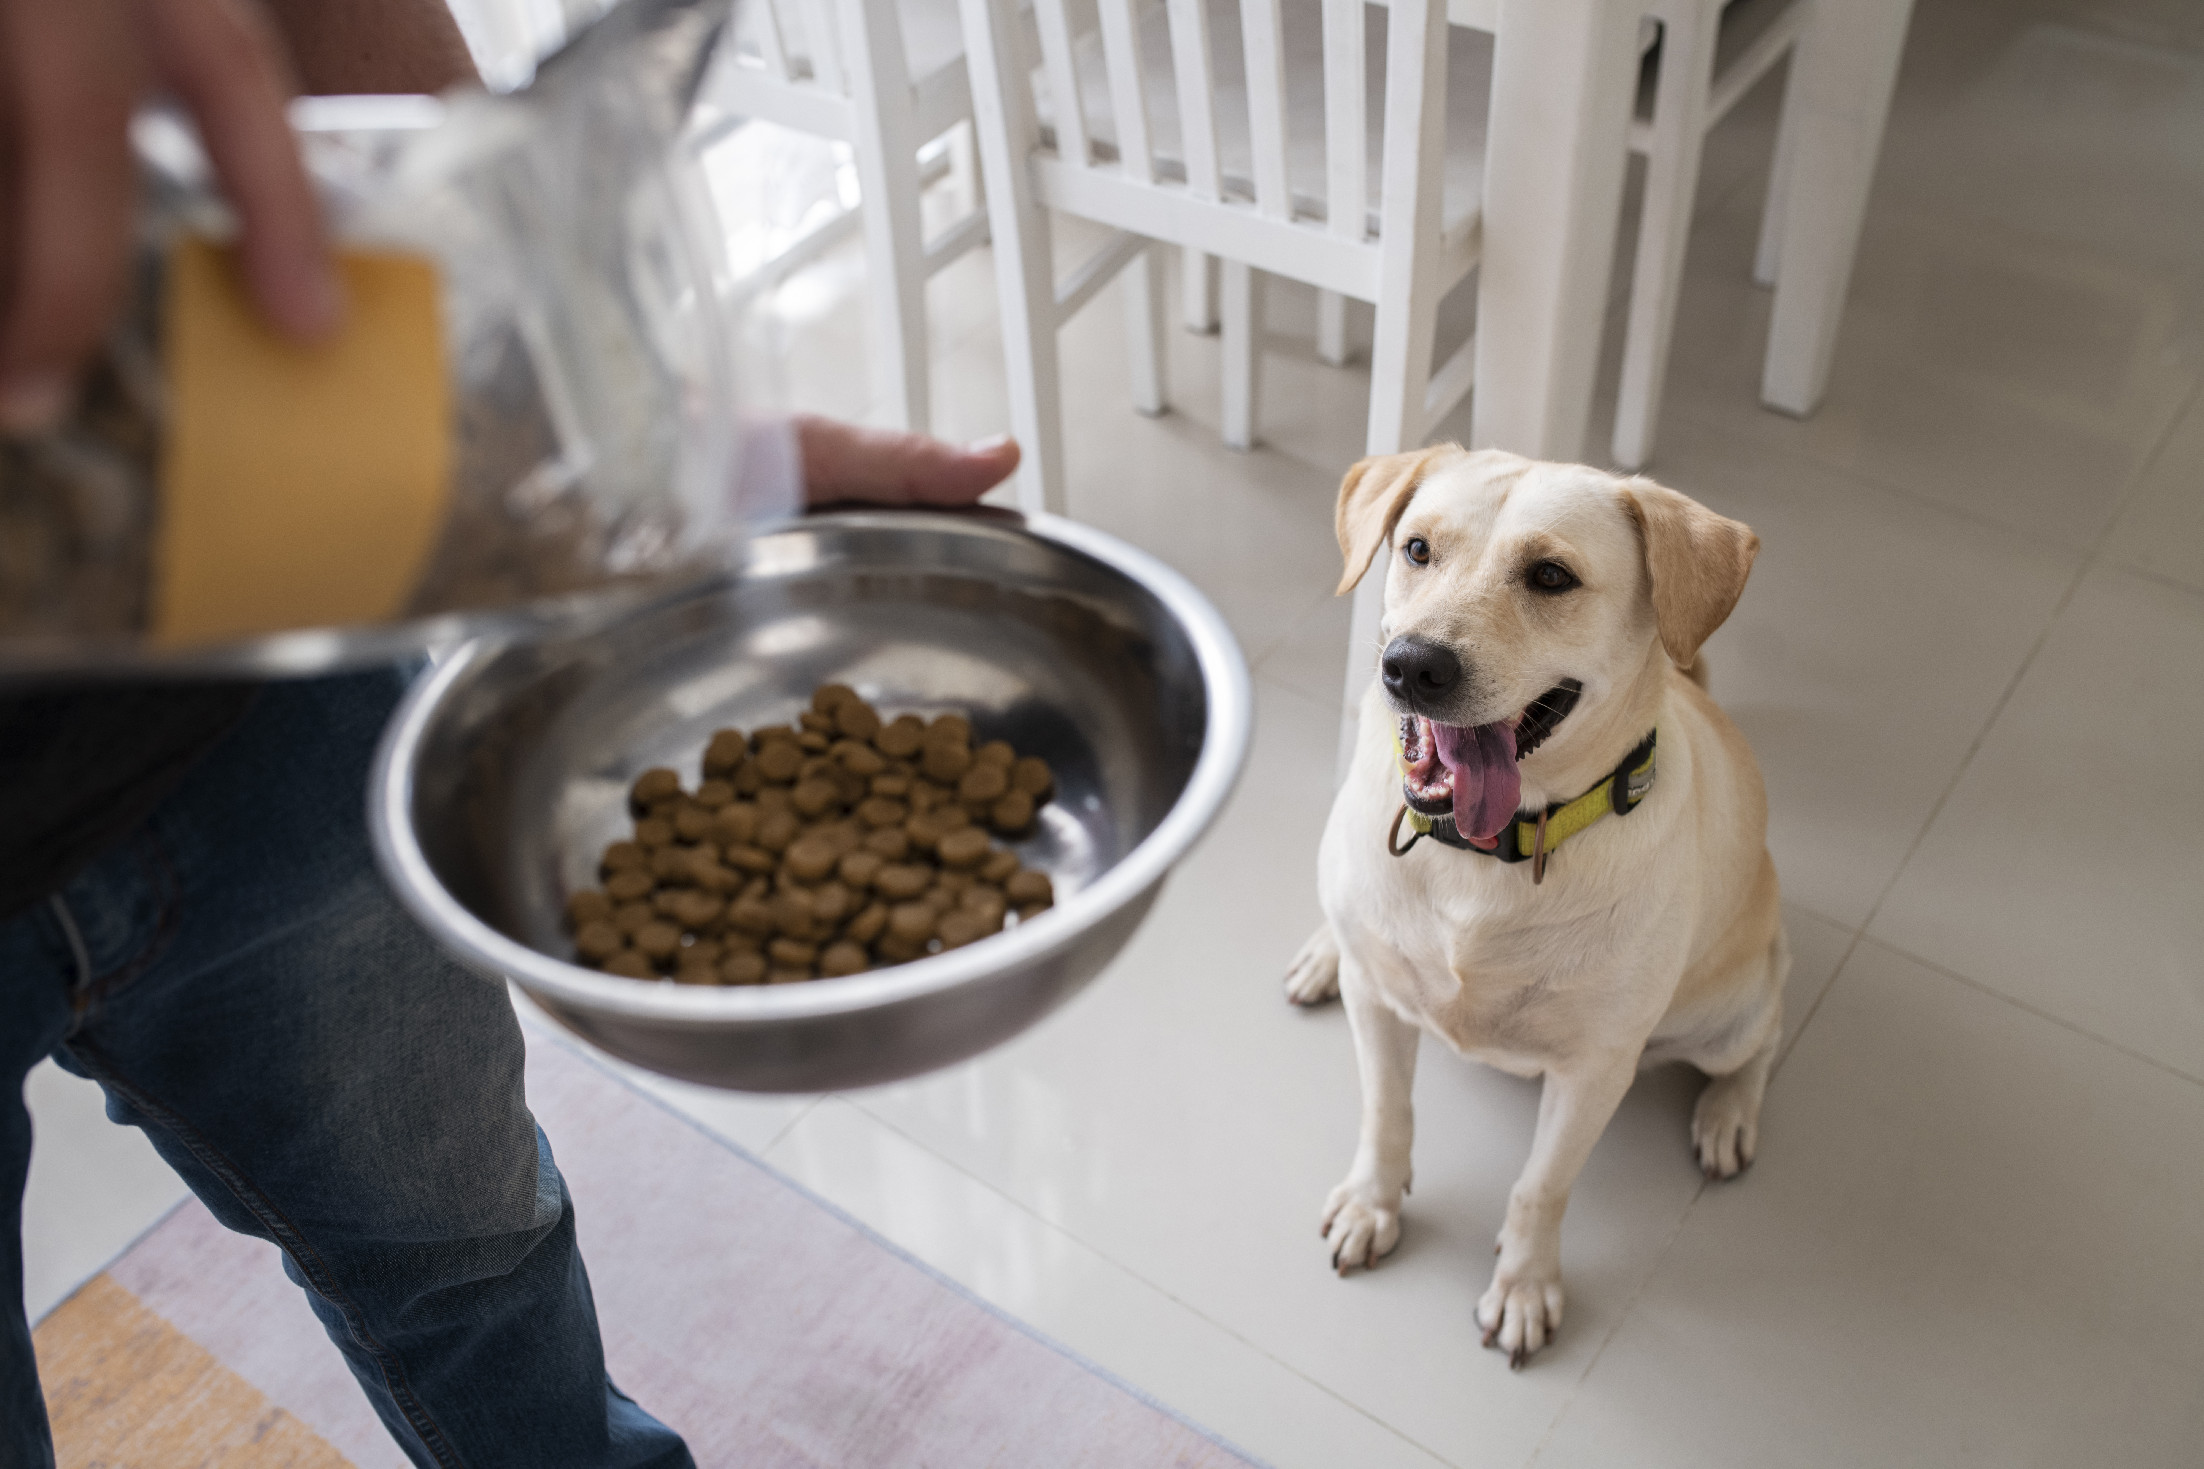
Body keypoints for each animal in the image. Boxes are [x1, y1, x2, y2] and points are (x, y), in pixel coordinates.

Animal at [1287, 444, 1780, 1365]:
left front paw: (1524, 1285)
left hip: (1727, 1011)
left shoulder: (1595, 1068)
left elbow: (1541, 1185)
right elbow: (1387, 1113)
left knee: (1760, 1041)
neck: (1481, 857)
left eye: (1551, 575)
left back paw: (1729, 1112)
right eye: (1416, 548)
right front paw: (1374, 1202)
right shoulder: (1380, 1006)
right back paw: (1324, 950)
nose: (1412, 665)